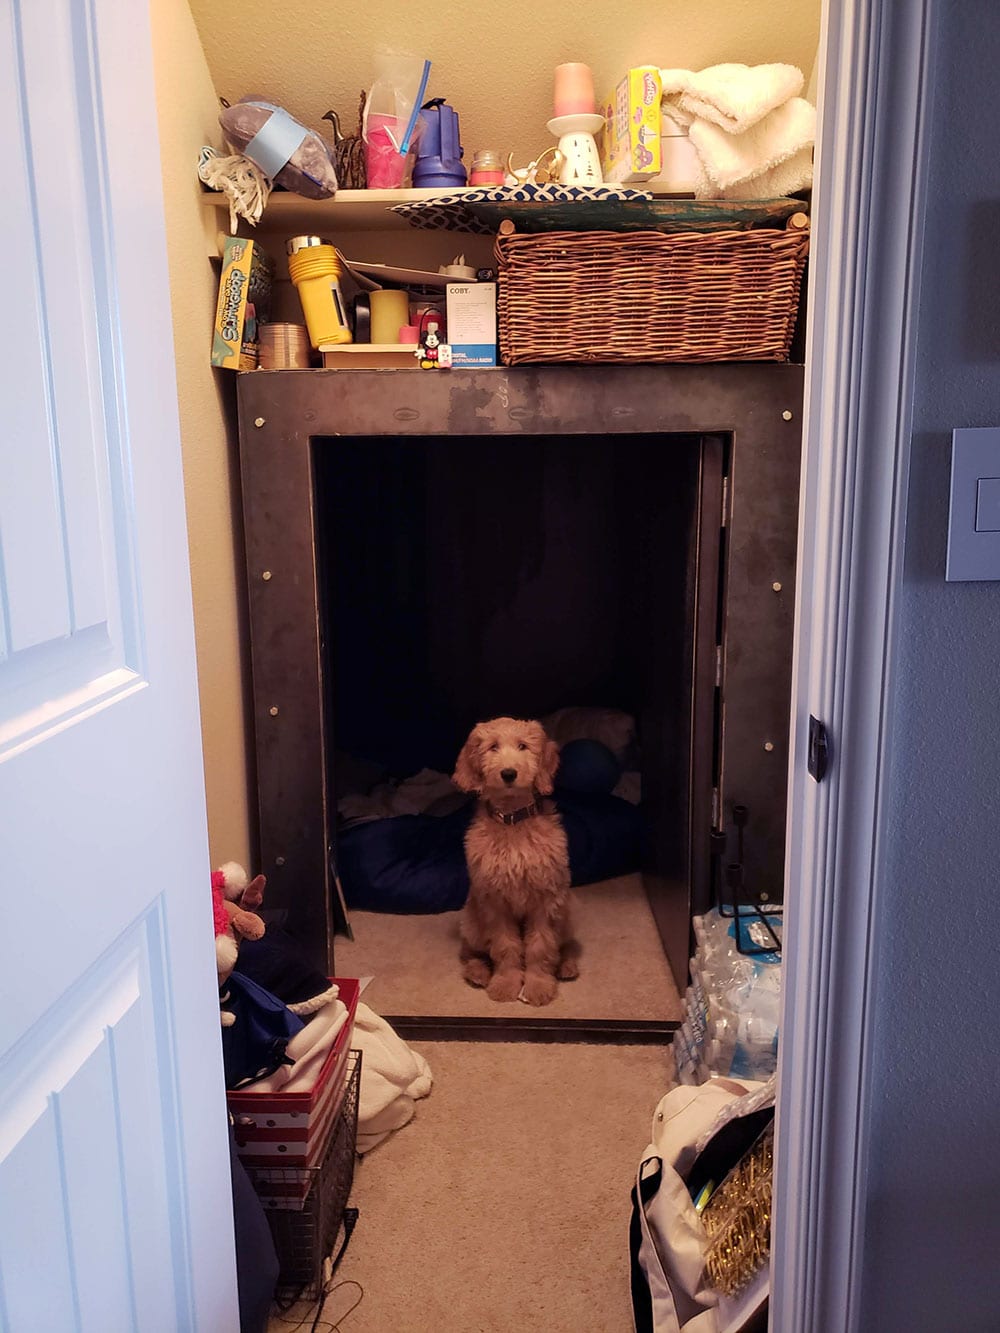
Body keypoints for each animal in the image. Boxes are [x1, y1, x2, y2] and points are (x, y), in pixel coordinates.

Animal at [453, 714, 584, 1002]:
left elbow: (541, 946)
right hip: (471, 920)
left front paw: (538, 985)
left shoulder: (547, 900)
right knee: (469, 951)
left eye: (523, 746)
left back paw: (567, 966)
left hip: (568, 911)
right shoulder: (494, 903)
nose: (509, 773)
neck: (513, 821)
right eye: (492, 747)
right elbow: (505, 946)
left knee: (566, 944)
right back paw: (478, 971)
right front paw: (506, 983)